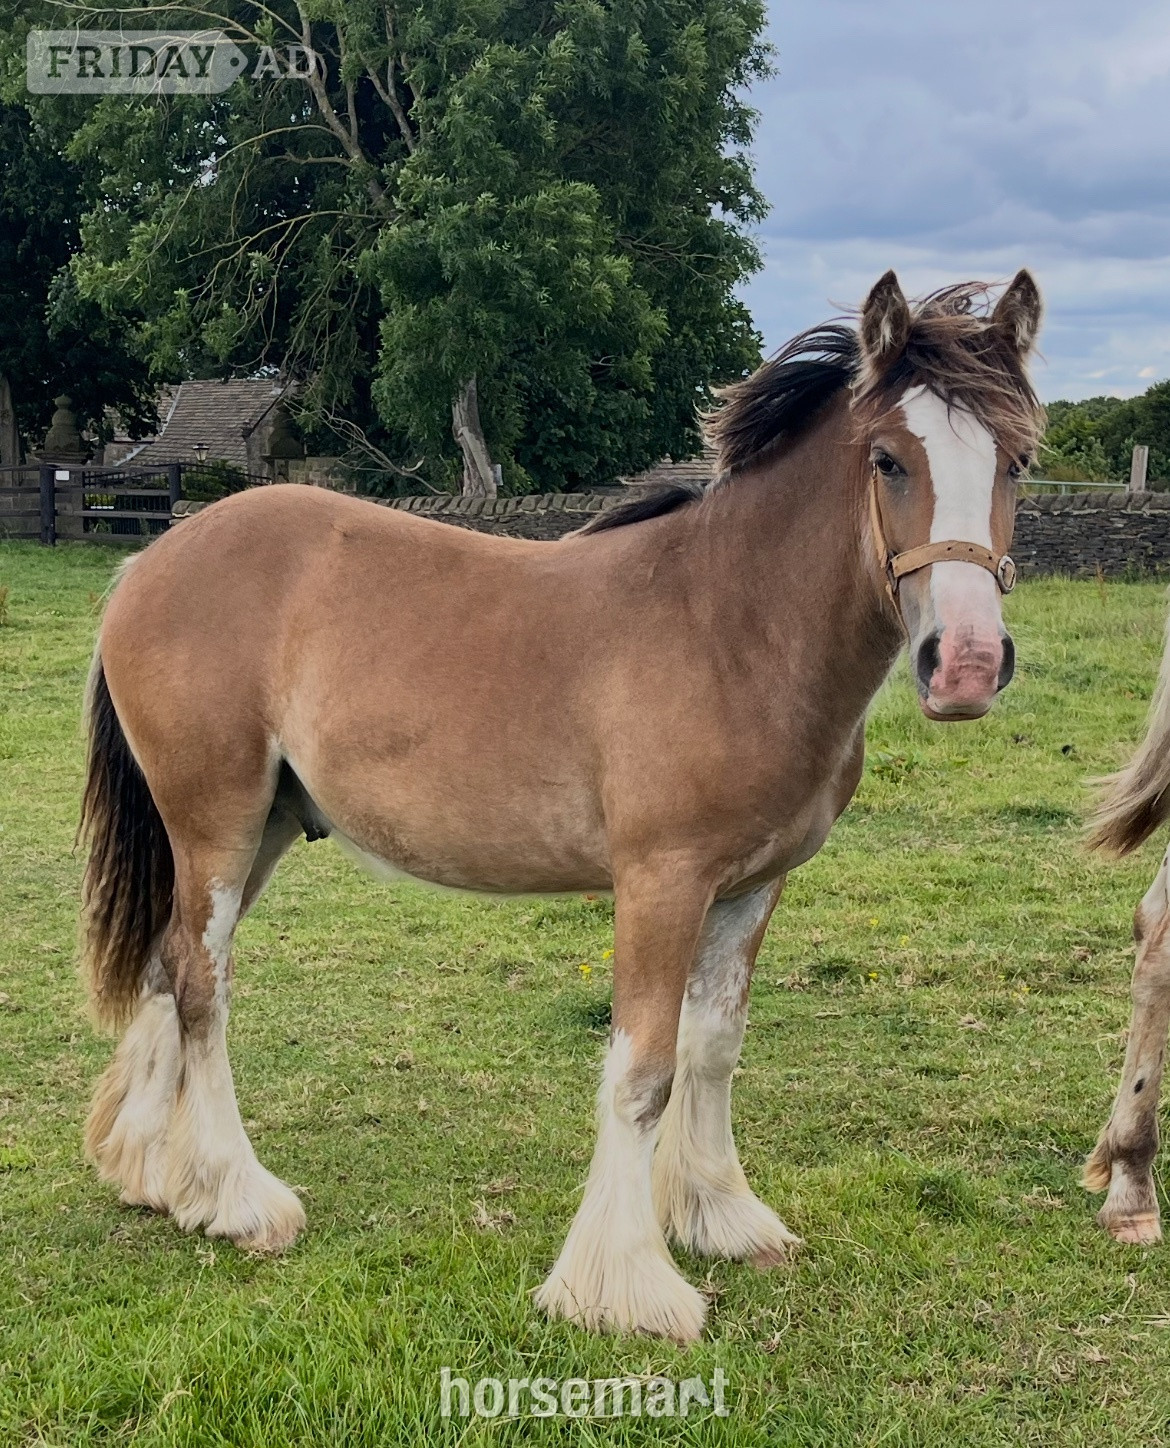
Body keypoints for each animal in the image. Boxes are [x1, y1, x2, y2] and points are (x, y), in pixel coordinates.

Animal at [79, 269, 1044, 1343]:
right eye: (887, 459)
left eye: (1019, 460)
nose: (966, 665)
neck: (734, 626)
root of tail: (150, 560)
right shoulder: (661, 882)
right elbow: (643, 1071)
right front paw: (621, 1284)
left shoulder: (753, 888)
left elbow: (713, 1048)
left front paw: (721, 1216)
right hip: (216, 822)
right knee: (202, 985)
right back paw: (239, 1198)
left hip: (264, 832)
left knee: (167, 964)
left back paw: (155, 1176)